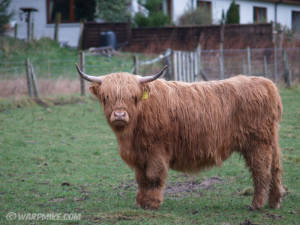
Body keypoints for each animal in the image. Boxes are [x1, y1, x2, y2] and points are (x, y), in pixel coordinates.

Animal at [75, 63, 284, 211]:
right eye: (106, 97)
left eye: (133, 97)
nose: (119, 115)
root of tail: (267, 83)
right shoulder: (139, 156)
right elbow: (141, 179)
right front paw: (140, 202)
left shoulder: (157, 150)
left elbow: (153, 176)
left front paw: (152, 204)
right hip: (270, 140)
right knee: (275, 168)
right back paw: (274, 202)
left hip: (257, 143)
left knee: (261, 171)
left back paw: (256, 205)